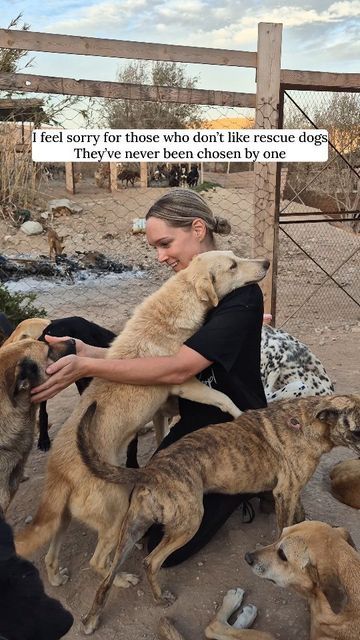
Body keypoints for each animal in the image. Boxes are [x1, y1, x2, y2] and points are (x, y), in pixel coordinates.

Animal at [15, 252, 268, 592]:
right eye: (233, 266)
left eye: (236, 256)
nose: (266, 263)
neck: (172, 310)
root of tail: (59, 472)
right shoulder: (184, 384)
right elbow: (223, 397)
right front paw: (242, 415)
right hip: (116, 513)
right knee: (97, 562)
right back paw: (122, 579)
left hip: (62, 518)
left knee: (50, 554)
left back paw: (56, 576)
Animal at [76, 392, 360, 632]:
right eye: (358, 431)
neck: (309, 422)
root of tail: (151, 471)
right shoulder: (285, 491)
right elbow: (285, 526)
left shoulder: (292, 492)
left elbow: (300, 518)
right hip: (189, 524)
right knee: (151, 562)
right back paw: (159, 600)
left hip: (132, 529)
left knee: (107, 578)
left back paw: (91, 620)